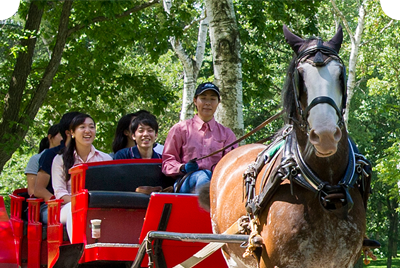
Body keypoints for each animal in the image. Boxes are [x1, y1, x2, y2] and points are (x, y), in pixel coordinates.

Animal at [208, 25, 370, 268]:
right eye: (299, 77)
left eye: (340, 74)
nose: (325, 135)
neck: (325, 187)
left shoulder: (345, 261)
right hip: (229, 253)